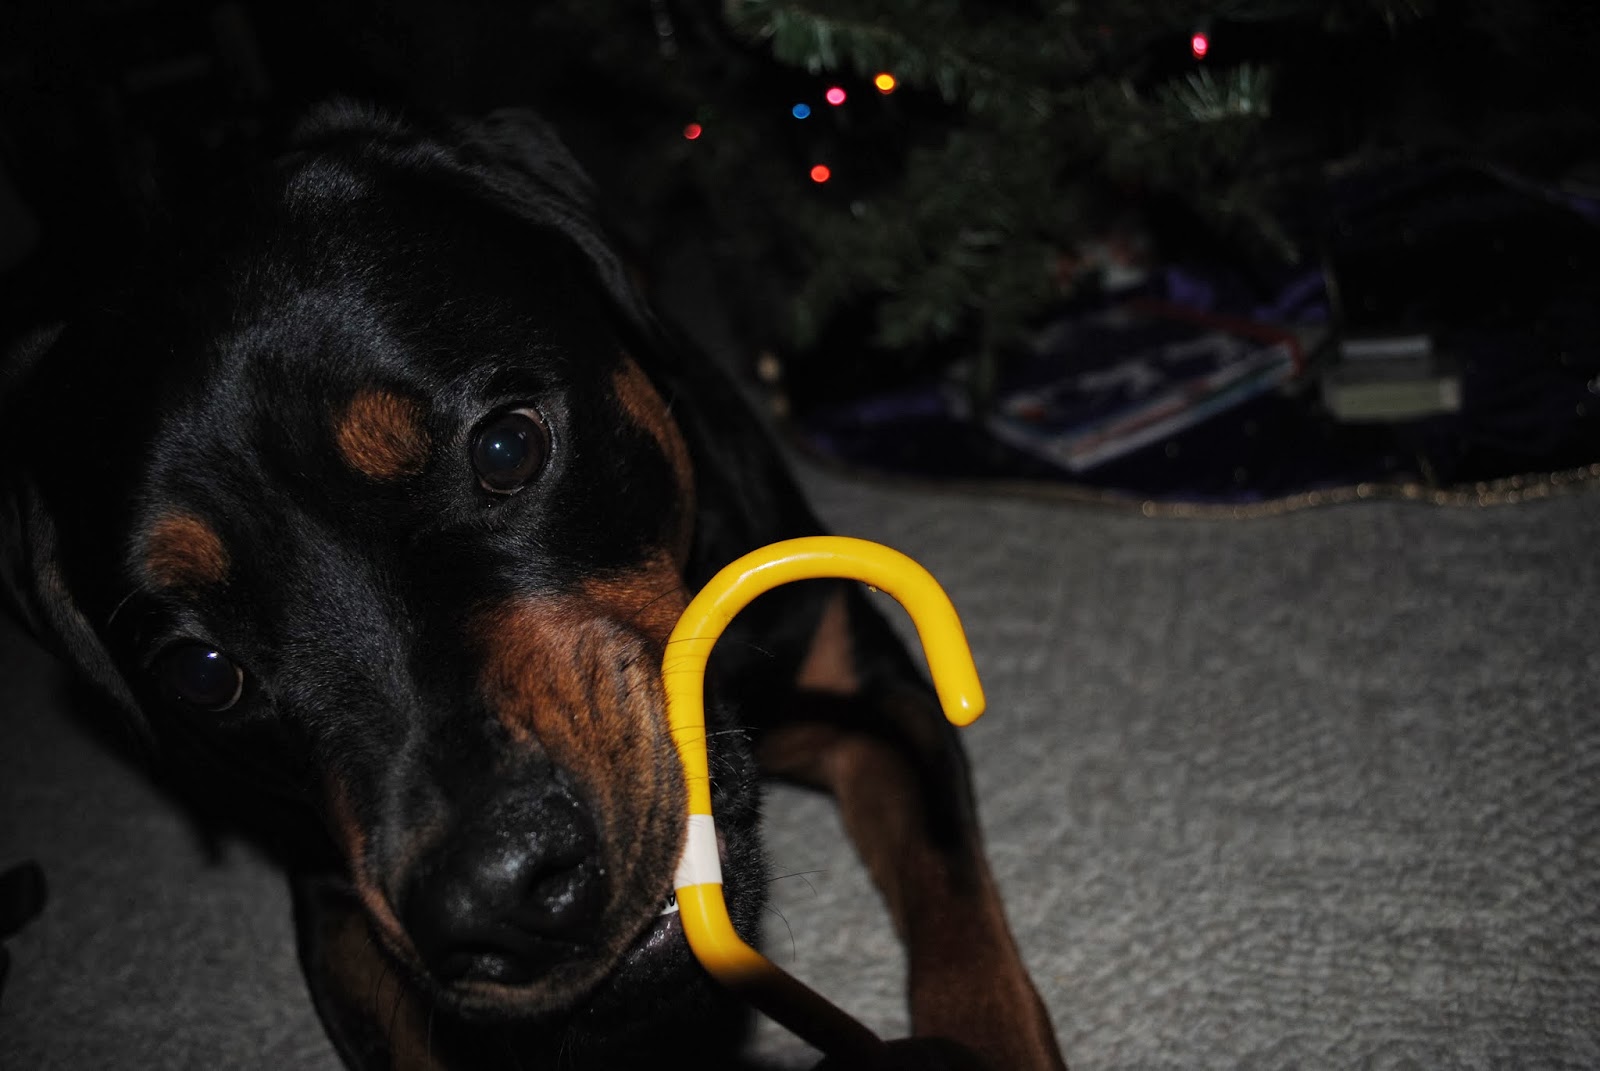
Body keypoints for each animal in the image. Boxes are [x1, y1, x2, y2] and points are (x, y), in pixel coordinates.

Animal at [0, 103, 1065, 1070]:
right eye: (200, 671)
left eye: (508, 446)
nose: (496, 898)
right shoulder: (338, 903)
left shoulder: (866, 688)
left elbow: (958, 914)